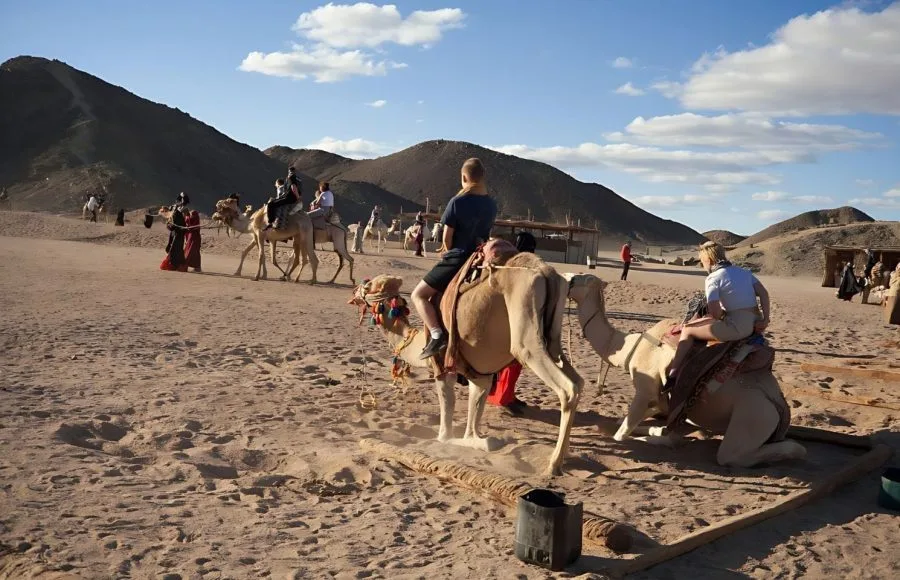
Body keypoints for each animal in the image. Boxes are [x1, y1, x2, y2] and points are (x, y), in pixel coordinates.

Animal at [348, 254, 583, 476]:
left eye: (368, 286)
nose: (354, 293)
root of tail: (545, 272)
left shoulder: (442, 366)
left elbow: (444, 430)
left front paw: (465, 439)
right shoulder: (480, 376)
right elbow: (474, 414)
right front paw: (481, 439)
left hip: (526, 334)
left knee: (567, 388)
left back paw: (553, 465)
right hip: (552, 338)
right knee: (578, 381)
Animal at [564, 273, 806, 468]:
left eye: (577, 279)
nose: (565, 278)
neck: (629, 347)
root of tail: (778, 403)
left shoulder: (644, 389)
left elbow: (620, 436)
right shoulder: (662, 398)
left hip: (753, 415)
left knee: (737, 454)